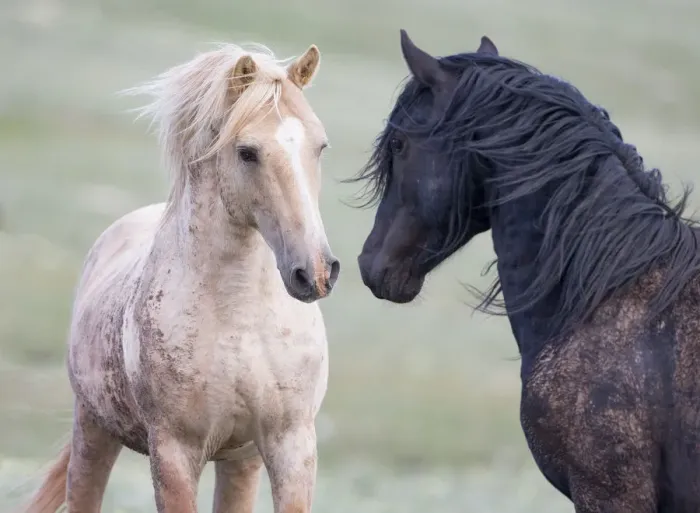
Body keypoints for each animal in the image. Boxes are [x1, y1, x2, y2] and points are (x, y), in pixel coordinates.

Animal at [22, 42, 340, 513]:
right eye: (247, 152)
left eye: (320, 146)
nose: (314, 271)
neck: (240, 319)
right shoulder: (174, 452)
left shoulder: (290, 445)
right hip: (93, 432)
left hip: (240, 463)